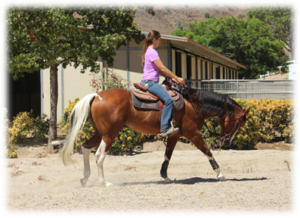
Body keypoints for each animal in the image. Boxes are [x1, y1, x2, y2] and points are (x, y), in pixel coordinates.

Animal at [59, 84, 250, 186]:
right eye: (240, 122)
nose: (227, 141)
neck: (193, 104)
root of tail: (97, 96)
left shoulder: (175, 136)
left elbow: (167, 156)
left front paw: (165, 176)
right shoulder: (193, 133)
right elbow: (207, 152)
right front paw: (220, 174)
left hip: (100, 133)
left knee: (85, 149)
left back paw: (85, 178)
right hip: (109, 135)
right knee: (99, 156)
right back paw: (103, 182)